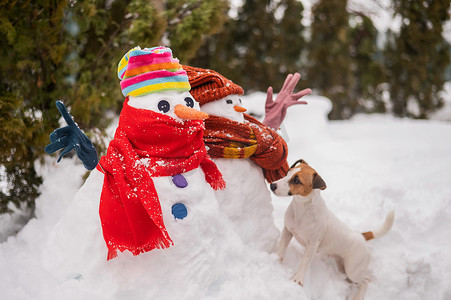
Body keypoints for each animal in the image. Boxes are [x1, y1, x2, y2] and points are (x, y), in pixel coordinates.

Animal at [270, 159, 394, 300]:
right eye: (287, 172)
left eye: (297, 180)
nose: (272, 185)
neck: (302, 209)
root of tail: (361, 236)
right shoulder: (288, 230)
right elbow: (281, 248)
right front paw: (275, 260)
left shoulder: (312, 245)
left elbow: (304, 262)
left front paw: (297, 280)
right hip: (343, 266)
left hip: (353, 269)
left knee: (366, 280)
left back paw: (358, 296)